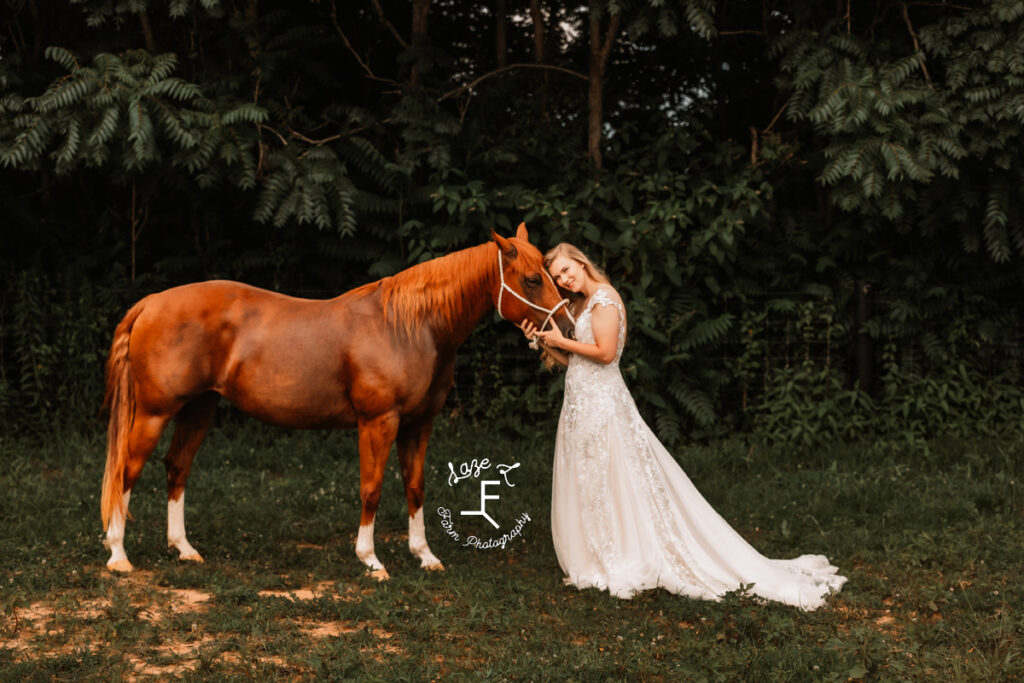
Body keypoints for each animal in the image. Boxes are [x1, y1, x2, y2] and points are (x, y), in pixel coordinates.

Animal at [99, 227, 573, 581]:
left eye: (550, 275)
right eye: (532, 279)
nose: (568, 330)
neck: (410, 327)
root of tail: (151, 303)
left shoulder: (419, 424)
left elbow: (415, 486)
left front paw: (425, 555)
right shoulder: (378, 422)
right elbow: (372, 487)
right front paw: (371, 560)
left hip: (198, 409)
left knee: (177, 467)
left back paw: (184, 549)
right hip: (156, 413)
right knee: (127, 470)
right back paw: (118, 556)